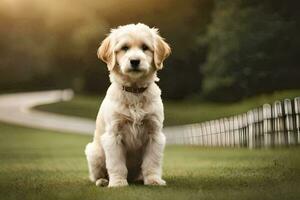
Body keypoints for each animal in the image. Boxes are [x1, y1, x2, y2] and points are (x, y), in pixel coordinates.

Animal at [84, 23, 171, 188]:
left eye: (145, 47)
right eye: (124, 48)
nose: (135, 61)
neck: (134, 91)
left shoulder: (154, 134)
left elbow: (152, 162)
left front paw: (153, 180)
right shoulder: (113, 134)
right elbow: (116, 163)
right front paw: (118, 182)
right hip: (93, 152)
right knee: (96, 174)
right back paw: (103, 181)